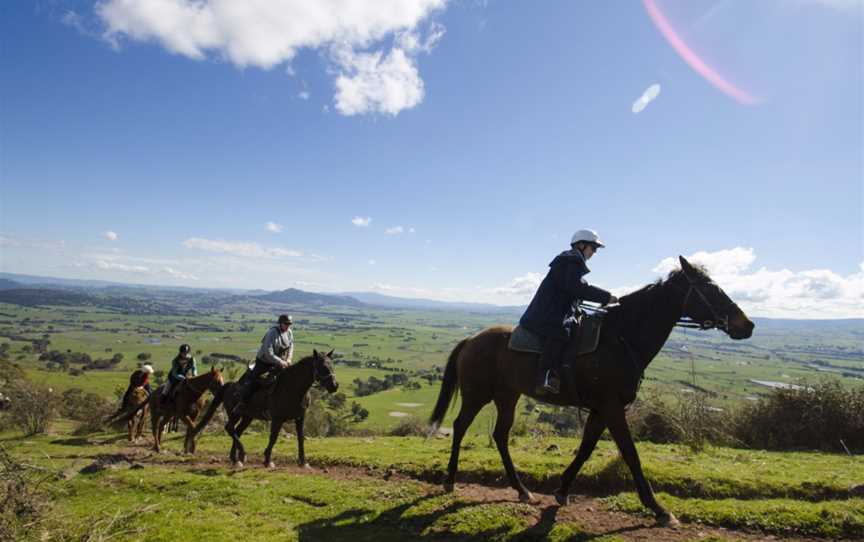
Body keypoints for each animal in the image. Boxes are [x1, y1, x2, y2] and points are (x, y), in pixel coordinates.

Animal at [194, 350, 340, 470]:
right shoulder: (277, 419)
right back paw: (241, 455)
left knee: (237, 431)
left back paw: (235, 459)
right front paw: (268, 460)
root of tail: (228, 386)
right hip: (234, 414)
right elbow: (273, 438)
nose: (334, 386)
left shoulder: (300, 418)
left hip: (247, 416)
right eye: (322, 367)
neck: (293, 388)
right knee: (230, 428)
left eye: (332, 365)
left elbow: (300, 438)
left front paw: (303, 462)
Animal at [428, 258, 752, 528]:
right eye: (710, 289)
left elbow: (586, 449)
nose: (747, 325)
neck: (621, 339)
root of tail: (471, 339)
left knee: (500, 435)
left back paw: (522, 490)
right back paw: (450, 481)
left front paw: (562, 489)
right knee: (460, 426)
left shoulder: (600, 410)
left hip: (507, 397)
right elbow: (630, 454)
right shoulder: (612, 407)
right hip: (477, 395)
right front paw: (658, 509)